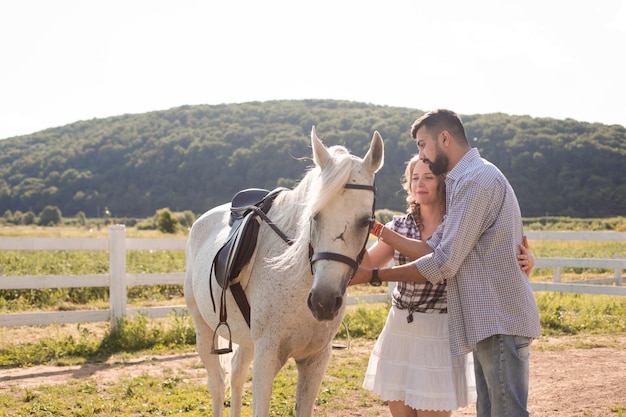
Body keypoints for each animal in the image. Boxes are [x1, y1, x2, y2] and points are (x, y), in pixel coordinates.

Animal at [183, 127, 382, 416]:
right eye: (314, 215)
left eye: (366, 221)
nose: (323, 301)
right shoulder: (266, 357)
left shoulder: (316, 360)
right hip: (203, 327)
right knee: (217, 384)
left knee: (236, 376)